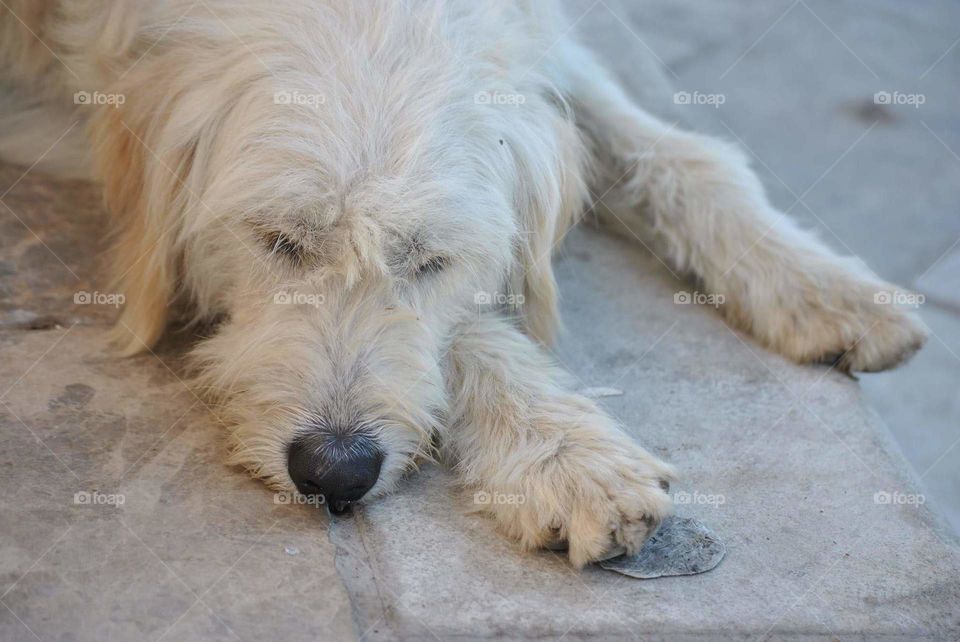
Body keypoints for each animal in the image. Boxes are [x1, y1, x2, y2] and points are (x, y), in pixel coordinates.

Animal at [1, 0, 928, 564]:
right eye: (279, 241)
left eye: (430, 260)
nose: (335, 471)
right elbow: (472, 332)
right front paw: (563, 453)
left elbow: (676, 153)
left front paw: (817, 280)